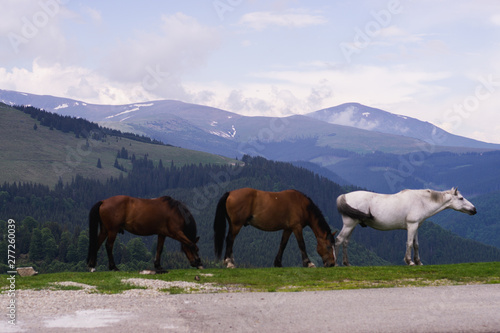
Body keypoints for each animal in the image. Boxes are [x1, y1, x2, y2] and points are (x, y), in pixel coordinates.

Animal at [336, 188, 476, 266]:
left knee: (345, 242)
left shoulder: (416, 227)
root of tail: (344, 196)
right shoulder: (411, 225)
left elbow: (416, 245)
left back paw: (347, 263)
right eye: (461, 198)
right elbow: (409, 243)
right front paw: (409, 261)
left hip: (352, 225)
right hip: (349, 224)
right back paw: (335, 264)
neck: (421, 202)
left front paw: (419, 262)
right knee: (338, 240)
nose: (474, 209)